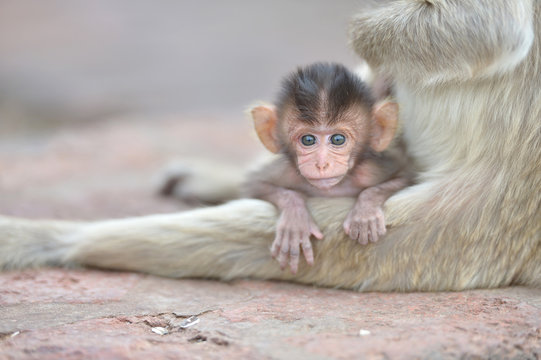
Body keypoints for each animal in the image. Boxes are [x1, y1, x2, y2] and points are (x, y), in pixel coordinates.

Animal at [247, 63, 412, 274]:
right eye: (308, 140)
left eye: (338, 139)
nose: (321, 163)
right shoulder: (287, 173)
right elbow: (255, 185)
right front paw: (295, 221)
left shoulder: (370, 171)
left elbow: (405, 177)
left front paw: (365, 213)